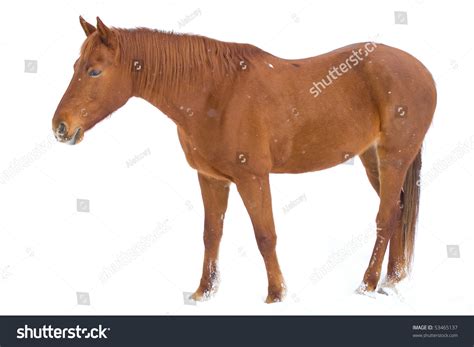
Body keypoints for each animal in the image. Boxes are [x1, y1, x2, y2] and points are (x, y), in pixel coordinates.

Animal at [51, 17, 436, 304]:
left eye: (95, 71)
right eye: (75, 66)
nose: (60, 127)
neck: (213, 92)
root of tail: (422, 71)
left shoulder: (253, 178)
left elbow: (265, 235)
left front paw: (276, 294)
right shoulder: (211, 178)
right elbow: (211, 234)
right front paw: (203, 293)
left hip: (393, 159)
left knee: (386, 217)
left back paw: (368, 284)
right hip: (373, 159)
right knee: (400, 210)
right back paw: (393, 280)